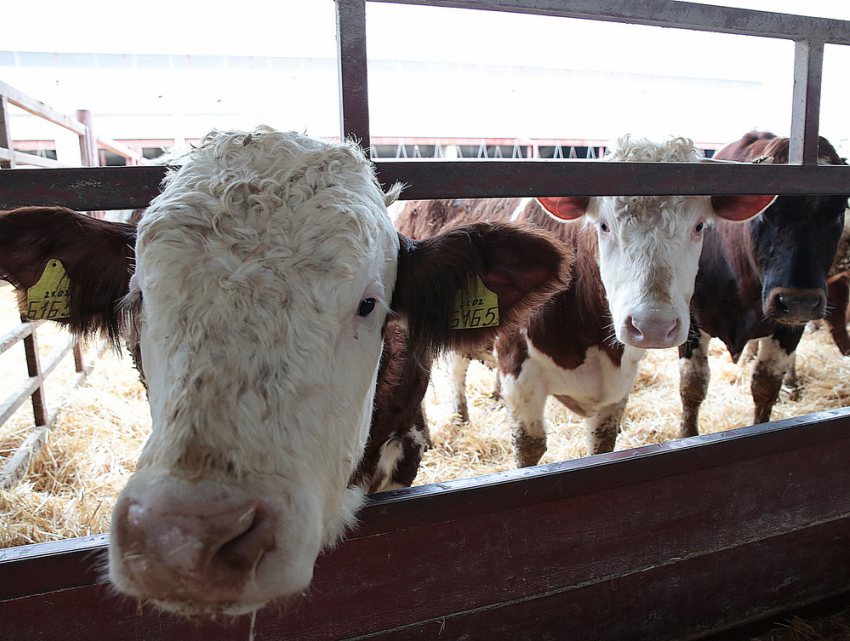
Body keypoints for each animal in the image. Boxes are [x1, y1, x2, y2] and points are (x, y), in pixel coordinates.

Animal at [398, 136, 776, 464]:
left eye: (699, 226)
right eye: (604, 226)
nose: (652, 326)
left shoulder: (619, 383)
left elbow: (602, 444)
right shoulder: (518, 369)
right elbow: (530, 446)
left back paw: (461, 417)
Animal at [676, 132, 848, 438]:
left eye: (840, 211)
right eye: (765, 213)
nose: (799, 302)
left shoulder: (788, 328)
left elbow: (766, 386)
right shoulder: (691, 323)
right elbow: (693, 386)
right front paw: (686, 437)